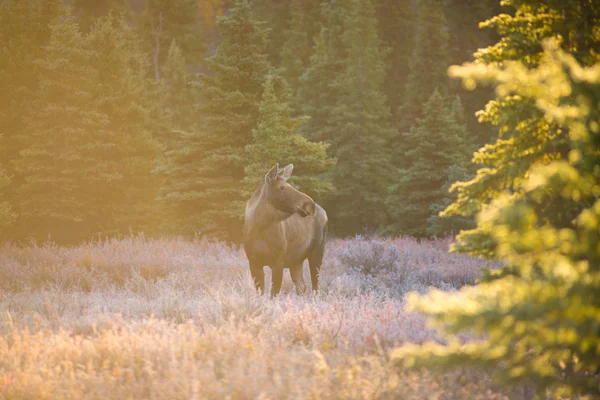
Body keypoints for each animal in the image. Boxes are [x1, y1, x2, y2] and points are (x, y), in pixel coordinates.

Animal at [244, 162, 328, 296]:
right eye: (282, 187)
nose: (310, 205)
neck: (260, 228)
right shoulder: (253, 262)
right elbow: (261, 293)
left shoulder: (278, 262)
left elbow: (273, 294)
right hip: (296, 261)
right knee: (301, 286)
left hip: (317, 252)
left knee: (315, 287)